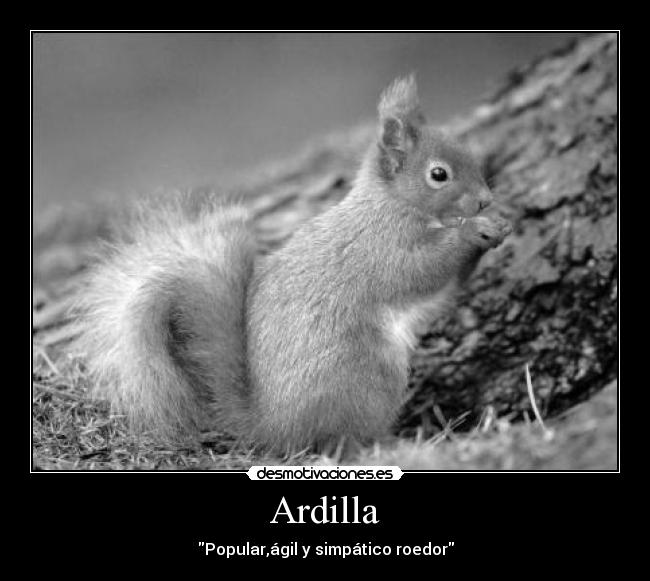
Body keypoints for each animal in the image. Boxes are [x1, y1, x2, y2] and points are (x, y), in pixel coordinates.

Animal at [71, 76, 512, 453]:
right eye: (439, 174)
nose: (485, 200)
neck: (392, 204)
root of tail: (272, 426)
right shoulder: (382, 249)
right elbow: (422, 270)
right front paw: (473, 232)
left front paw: (499, 225)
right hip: (366, 377)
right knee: (338, 440)